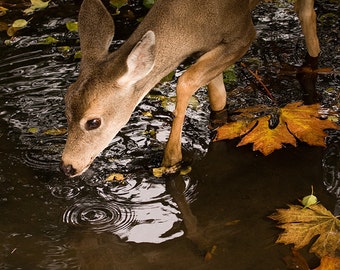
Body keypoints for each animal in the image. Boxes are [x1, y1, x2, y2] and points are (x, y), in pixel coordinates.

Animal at [59, 0, 320, 177]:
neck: (194, 20)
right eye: (66, 111)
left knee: (307, 14)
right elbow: (217, 97)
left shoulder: (242, 33)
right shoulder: (211, 47)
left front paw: (171, 159)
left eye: (94, 122)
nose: (68, 166)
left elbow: (185, 80)